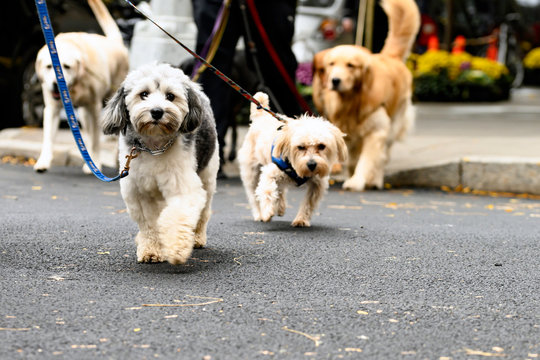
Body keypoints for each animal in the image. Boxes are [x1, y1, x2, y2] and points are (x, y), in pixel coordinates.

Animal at [33, 0, 129, 173]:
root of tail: (115, 42)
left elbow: (97, 141)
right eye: (49, 66)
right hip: (84, 115)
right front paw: (43, 161)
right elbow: (48, 137)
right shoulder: (52, 109)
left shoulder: (95, 109)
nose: (56, 85)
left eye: (67, 66)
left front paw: (95, 162)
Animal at [101, 63, 219, 264]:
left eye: (170, 96)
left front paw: (176, 247)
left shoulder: (182, 186)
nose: (157, 111)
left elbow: (179, 214)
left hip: (208, 175)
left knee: (204, 211)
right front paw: (151, 250)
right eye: (144, 94)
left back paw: (196, 238)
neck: (154, 146)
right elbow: (149, 224)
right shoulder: (138, 192)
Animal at [238, 93, 348, 228]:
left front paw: (301, 219)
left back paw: (280, 207)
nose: (312, 164)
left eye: (322, 146)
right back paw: (259, 214)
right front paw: (267, 212)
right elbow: (267, 190)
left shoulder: (317, 184)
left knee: (280, 190)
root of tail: (261, 116)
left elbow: (309, 203)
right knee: (253, 194)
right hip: (251, 172)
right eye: (300, 147)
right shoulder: (270, 172)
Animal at [312, 0, 422, 191]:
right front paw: (351, 174)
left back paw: (376, 180)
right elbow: (352, 160)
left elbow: (367, 160)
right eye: (331, 64)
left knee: (383, 155)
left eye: (350, 65)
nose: (335, 80)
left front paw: (357, 181)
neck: (351, 101)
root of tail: (390, 57)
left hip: (393, 125)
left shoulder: (376, 132)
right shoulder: (346, 134)